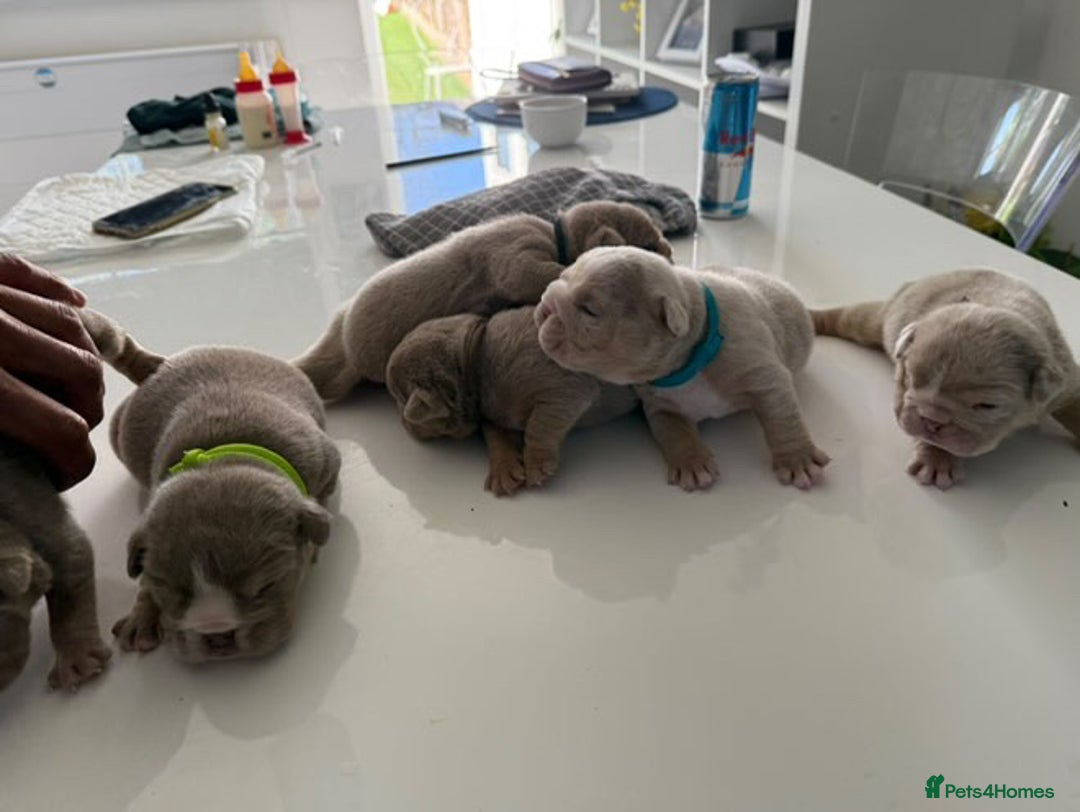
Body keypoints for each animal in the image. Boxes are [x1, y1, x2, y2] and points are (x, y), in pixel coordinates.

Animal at [81, 310, 341, 663]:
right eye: (167, 590)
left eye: (266, 587)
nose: (217, 635)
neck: (220, 457)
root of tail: (159, 366)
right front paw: (143, 615)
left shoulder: (327, 462)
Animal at [294, 201, 673, 400]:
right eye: (649, 245)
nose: (671, 258)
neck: (557, 234)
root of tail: (341, 333)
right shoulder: (515, 251)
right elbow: (531, 272)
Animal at [385, 307, 639, 496]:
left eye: (398, 397)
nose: (404, 426)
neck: (475, 366)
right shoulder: (493, 415)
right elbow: (494, 435)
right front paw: (503, 471)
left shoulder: (563, 386)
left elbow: (540, 424)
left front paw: (536, 462)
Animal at [535, 247, 829, 490]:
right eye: (561, 276)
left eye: (589, 310)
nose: (545, 304)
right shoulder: (662, 404)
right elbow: (674, 431)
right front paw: (692, 464)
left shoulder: (758, 368)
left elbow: (781, 414)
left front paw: (798, 459)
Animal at [811, 268, 1080, 488]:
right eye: (908, 378)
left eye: (986, 406)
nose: (930, 420)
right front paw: (937, 460)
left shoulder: (1067, 382)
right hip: (883, 316)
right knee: (851, 319)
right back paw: (814, 319)